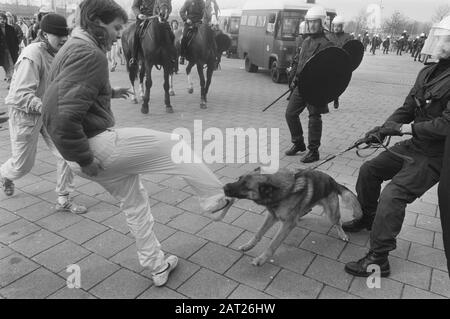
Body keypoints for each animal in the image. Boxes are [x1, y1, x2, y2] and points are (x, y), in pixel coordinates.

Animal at [221, 169, 362, 266]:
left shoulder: (288, 224)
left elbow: (273, 243)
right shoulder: (271, 216)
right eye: (238, 179)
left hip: (331, 213)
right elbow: (258, 233)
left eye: (245, 186)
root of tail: (333, 181)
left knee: (338, 222)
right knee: (307, 209)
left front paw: (261, 259)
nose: (224, 187)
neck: (279, 191)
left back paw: (342, 234)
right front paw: (248, 246)